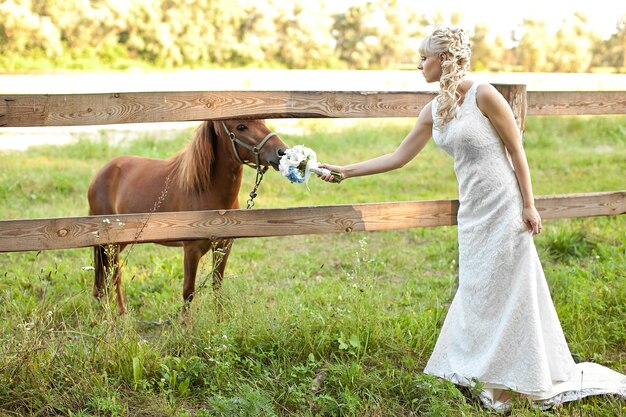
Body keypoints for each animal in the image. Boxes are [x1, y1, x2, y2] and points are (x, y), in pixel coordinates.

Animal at [86, 118, 286, 314]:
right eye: (241, 126)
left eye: (263, 121)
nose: (282, 152)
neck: (204, 189)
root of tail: (100, 174)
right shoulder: (191, 250)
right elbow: (188, 291)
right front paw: (186, 324)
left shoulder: (223, 247)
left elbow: (217, 285)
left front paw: (220, 320)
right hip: (111, 242)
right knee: (114, 274)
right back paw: (121, 313)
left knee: (107, 274)